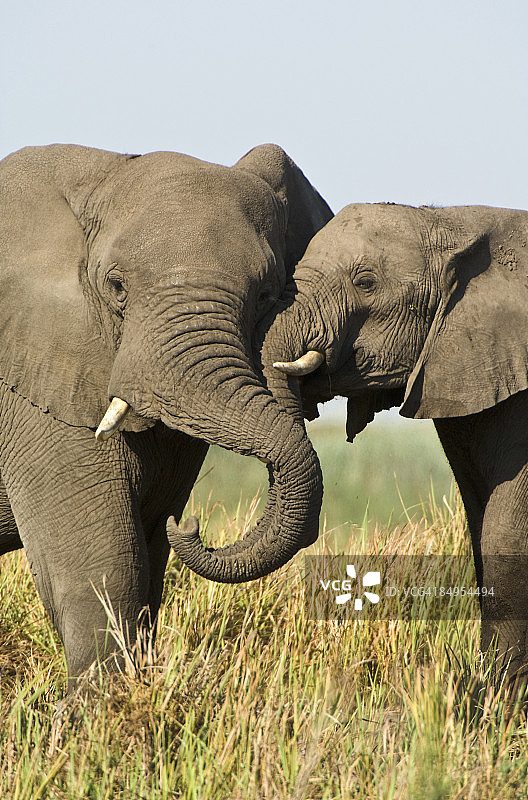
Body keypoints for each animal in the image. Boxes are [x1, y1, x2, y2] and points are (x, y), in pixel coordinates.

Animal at [0, 143, 332, 679]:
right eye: (116, 286)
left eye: (266, 294)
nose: (189, 523)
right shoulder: (30, 393)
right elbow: (105, 563)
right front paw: (107, 700)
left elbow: (147, 559)